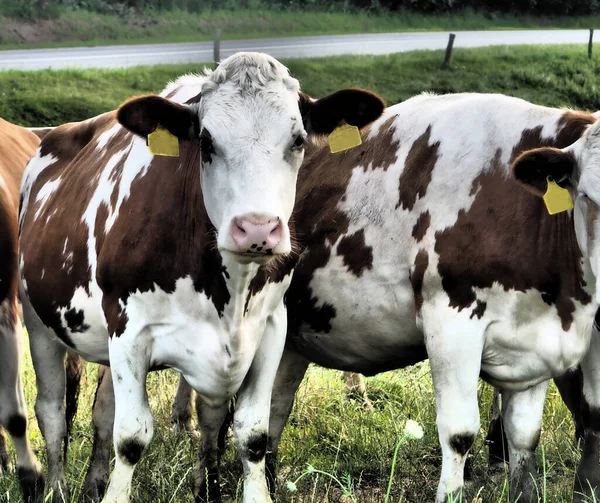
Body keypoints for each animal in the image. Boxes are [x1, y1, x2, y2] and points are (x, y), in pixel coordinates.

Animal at [17, 48, 384, 503]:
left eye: (299, 140)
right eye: (206, 142)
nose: (257, 229)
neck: (228, 289)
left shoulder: (269, 328)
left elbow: (250, 432)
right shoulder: (128, 330)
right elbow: (131, 436)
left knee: (103, 412)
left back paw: (93, 484)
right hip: (39, 323)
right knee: (51, 412)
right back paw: (57, 488)